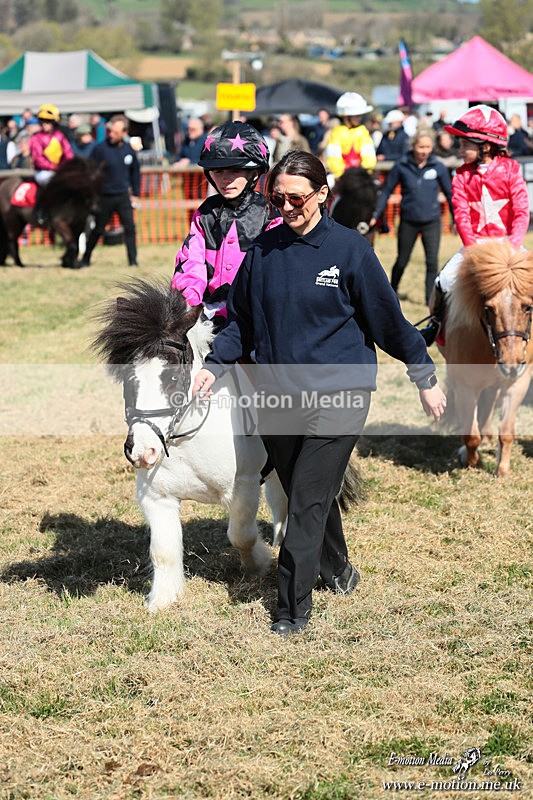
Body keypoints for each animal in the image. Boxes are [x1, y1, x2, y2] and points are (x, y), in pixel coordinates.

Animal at [92, 280, 289, 612]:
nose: (143, 451)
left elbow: (241, 535)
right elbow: (163, 550)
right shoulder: (155, 497)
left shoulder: (244, 486)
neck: (187, 438)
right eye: (128, 378)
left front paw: (259, 565)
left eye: (172, 378)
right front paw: (163, 599)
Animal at [440, 241, 533, 476]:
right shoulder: (465, 386)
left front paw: (503, 470)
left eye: (528, 307)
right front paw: (471, 460)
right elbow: (470, 435)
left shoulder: (518, 383)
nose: (511, 364)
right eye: (489, 308)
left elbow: (507, 431)